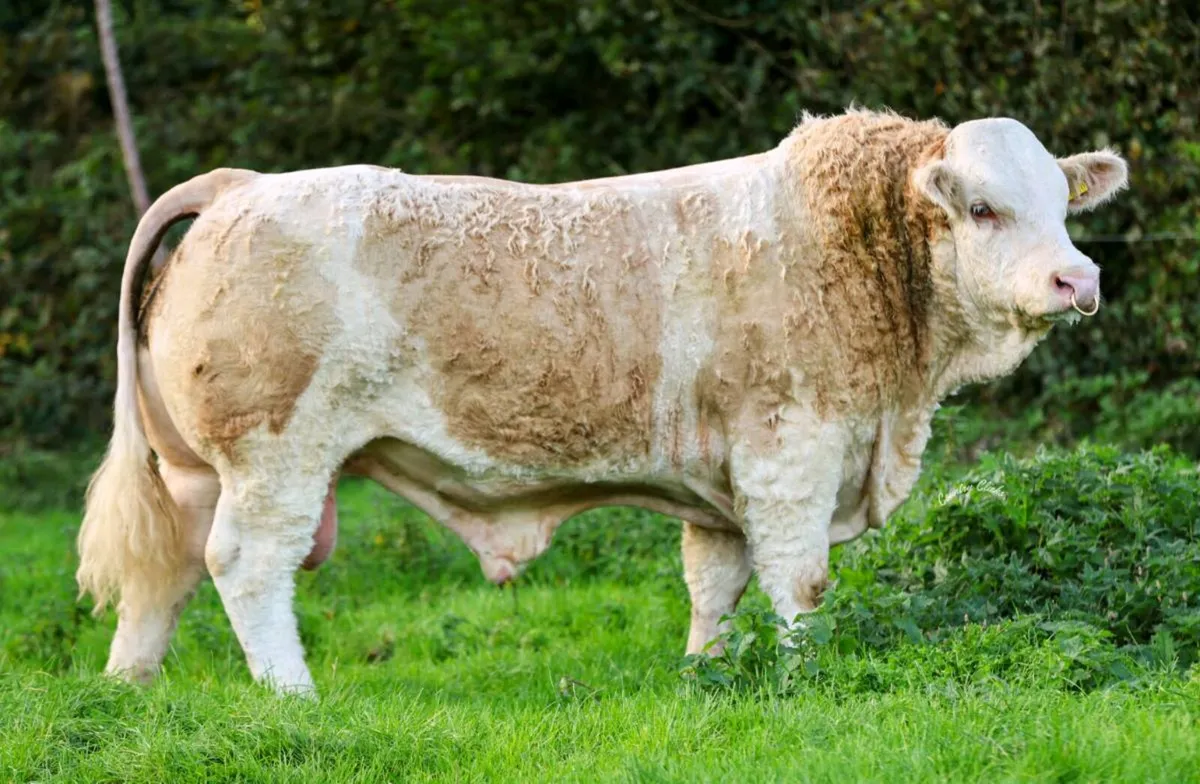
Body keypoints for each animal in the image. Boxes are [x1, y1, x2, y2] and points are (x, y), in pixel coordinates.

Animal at [76, 108, 1128, 696]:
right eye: (984, 208)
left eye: (1063, 205)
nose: (1078, 280)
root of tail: (241, 183)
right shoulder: (789, 450)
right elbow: (800, 586)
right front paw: (810, 678)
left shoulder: (726, 481)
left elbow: (716, 586)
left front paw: (709, 676)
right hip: (275, 454)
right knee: (246, 566)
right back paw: (292, 696)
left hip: (196, 471)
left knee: (166, 571)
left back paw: (129, 691)